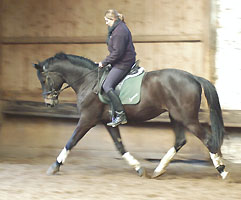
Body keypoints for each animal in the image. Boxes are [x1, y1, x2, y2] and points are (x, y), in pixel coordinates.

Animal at [33, 52, 228, 179]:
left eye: (43, 79)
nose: (49, 103)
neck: (88, 81)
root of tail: (193, 77)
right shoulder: (107, 122)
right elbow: (120, 146)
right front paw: (138, 168)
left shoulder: (87, 120)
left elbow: (71, 142)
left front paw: (55, 166)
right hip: (176, 116)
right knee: (180, 140)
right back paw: (158, 170)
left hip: (187, 118)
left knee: (208, 140)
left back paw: (222, 170)